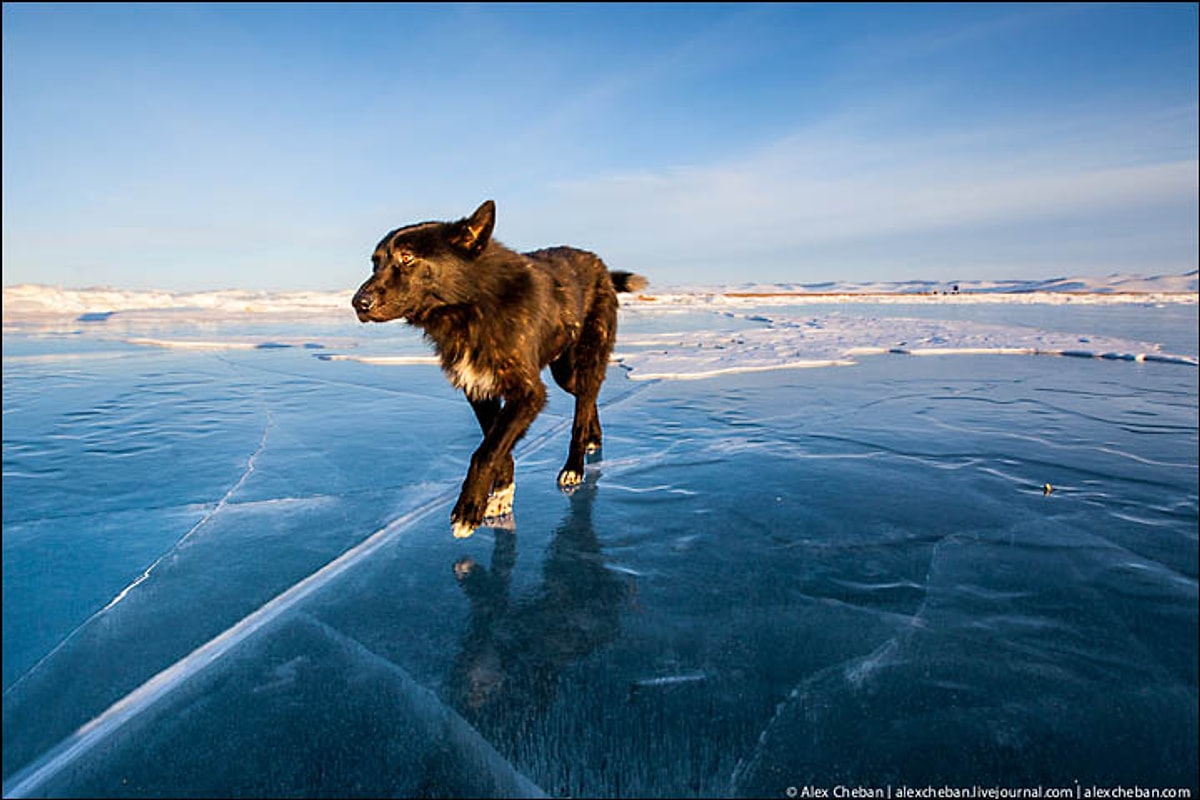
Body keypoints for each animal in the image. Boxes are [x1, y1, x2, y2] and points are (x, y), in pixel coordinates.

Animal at [350, 199, 643, 537]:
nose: (358, 303)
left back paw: (574, 466)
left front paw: (468, 510)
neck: (470, 308)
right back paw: (592, 438)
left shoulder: (528, 394)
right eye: (375, 263)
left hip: (581, 360)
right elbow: (498, 448)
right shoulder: (479, 389)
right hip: (565, 372)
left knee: (583, 405)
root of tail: (599, 264)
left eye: (407, 257)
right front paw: (502, 494)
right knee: (587, 397)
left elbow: (486, 452)